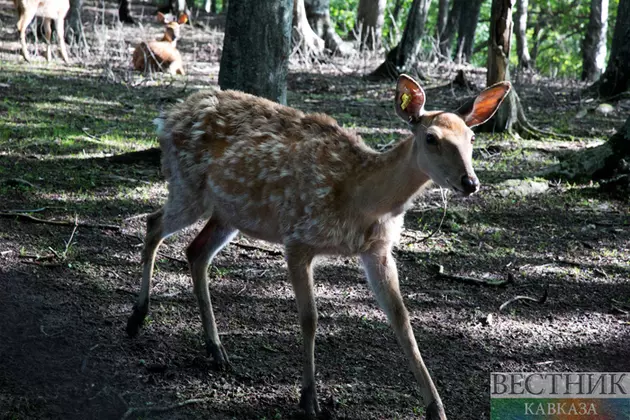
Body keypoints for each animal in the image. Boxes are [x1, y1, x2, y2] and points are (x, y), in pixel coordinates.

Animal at [126, 75, 512, 420]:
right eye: (431, 138)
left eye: (472, 137)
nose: (470, 182)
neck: (362, 198)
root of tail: (168, 115)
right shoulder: (298, 238)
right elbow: (309, 318)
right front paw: (309, 399)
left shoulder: (378, 250)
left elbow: (402, 320)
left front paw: (437, 408)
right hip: (187, 186)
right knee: (153, 223)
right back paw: (137, 317)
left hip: (229, 212)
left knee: (195, 252)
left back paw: (216, 349)